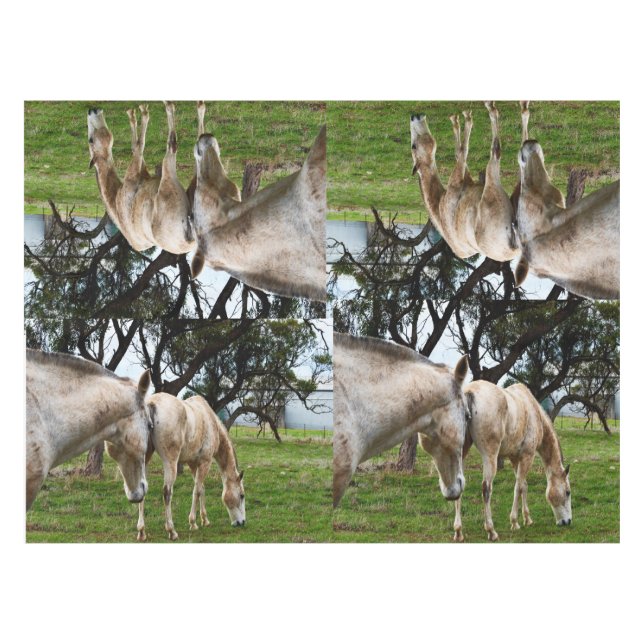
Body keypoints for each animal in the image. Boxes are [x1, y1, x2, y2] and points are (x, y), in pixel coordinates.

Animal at [135, 393, 245, 541]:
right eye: (241, 495)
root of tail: (151, 403)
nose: (241, 522)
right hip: (170, 462)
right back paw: (172, 531)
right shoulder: (205, 462)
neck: (211, 421)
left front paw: (205, 520)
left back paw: (141, 532)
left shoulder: (193, 464)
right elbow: (197, 491)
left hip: (145, 459)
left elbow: (201, 488)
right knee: (167, 492)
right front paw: (193, 523)